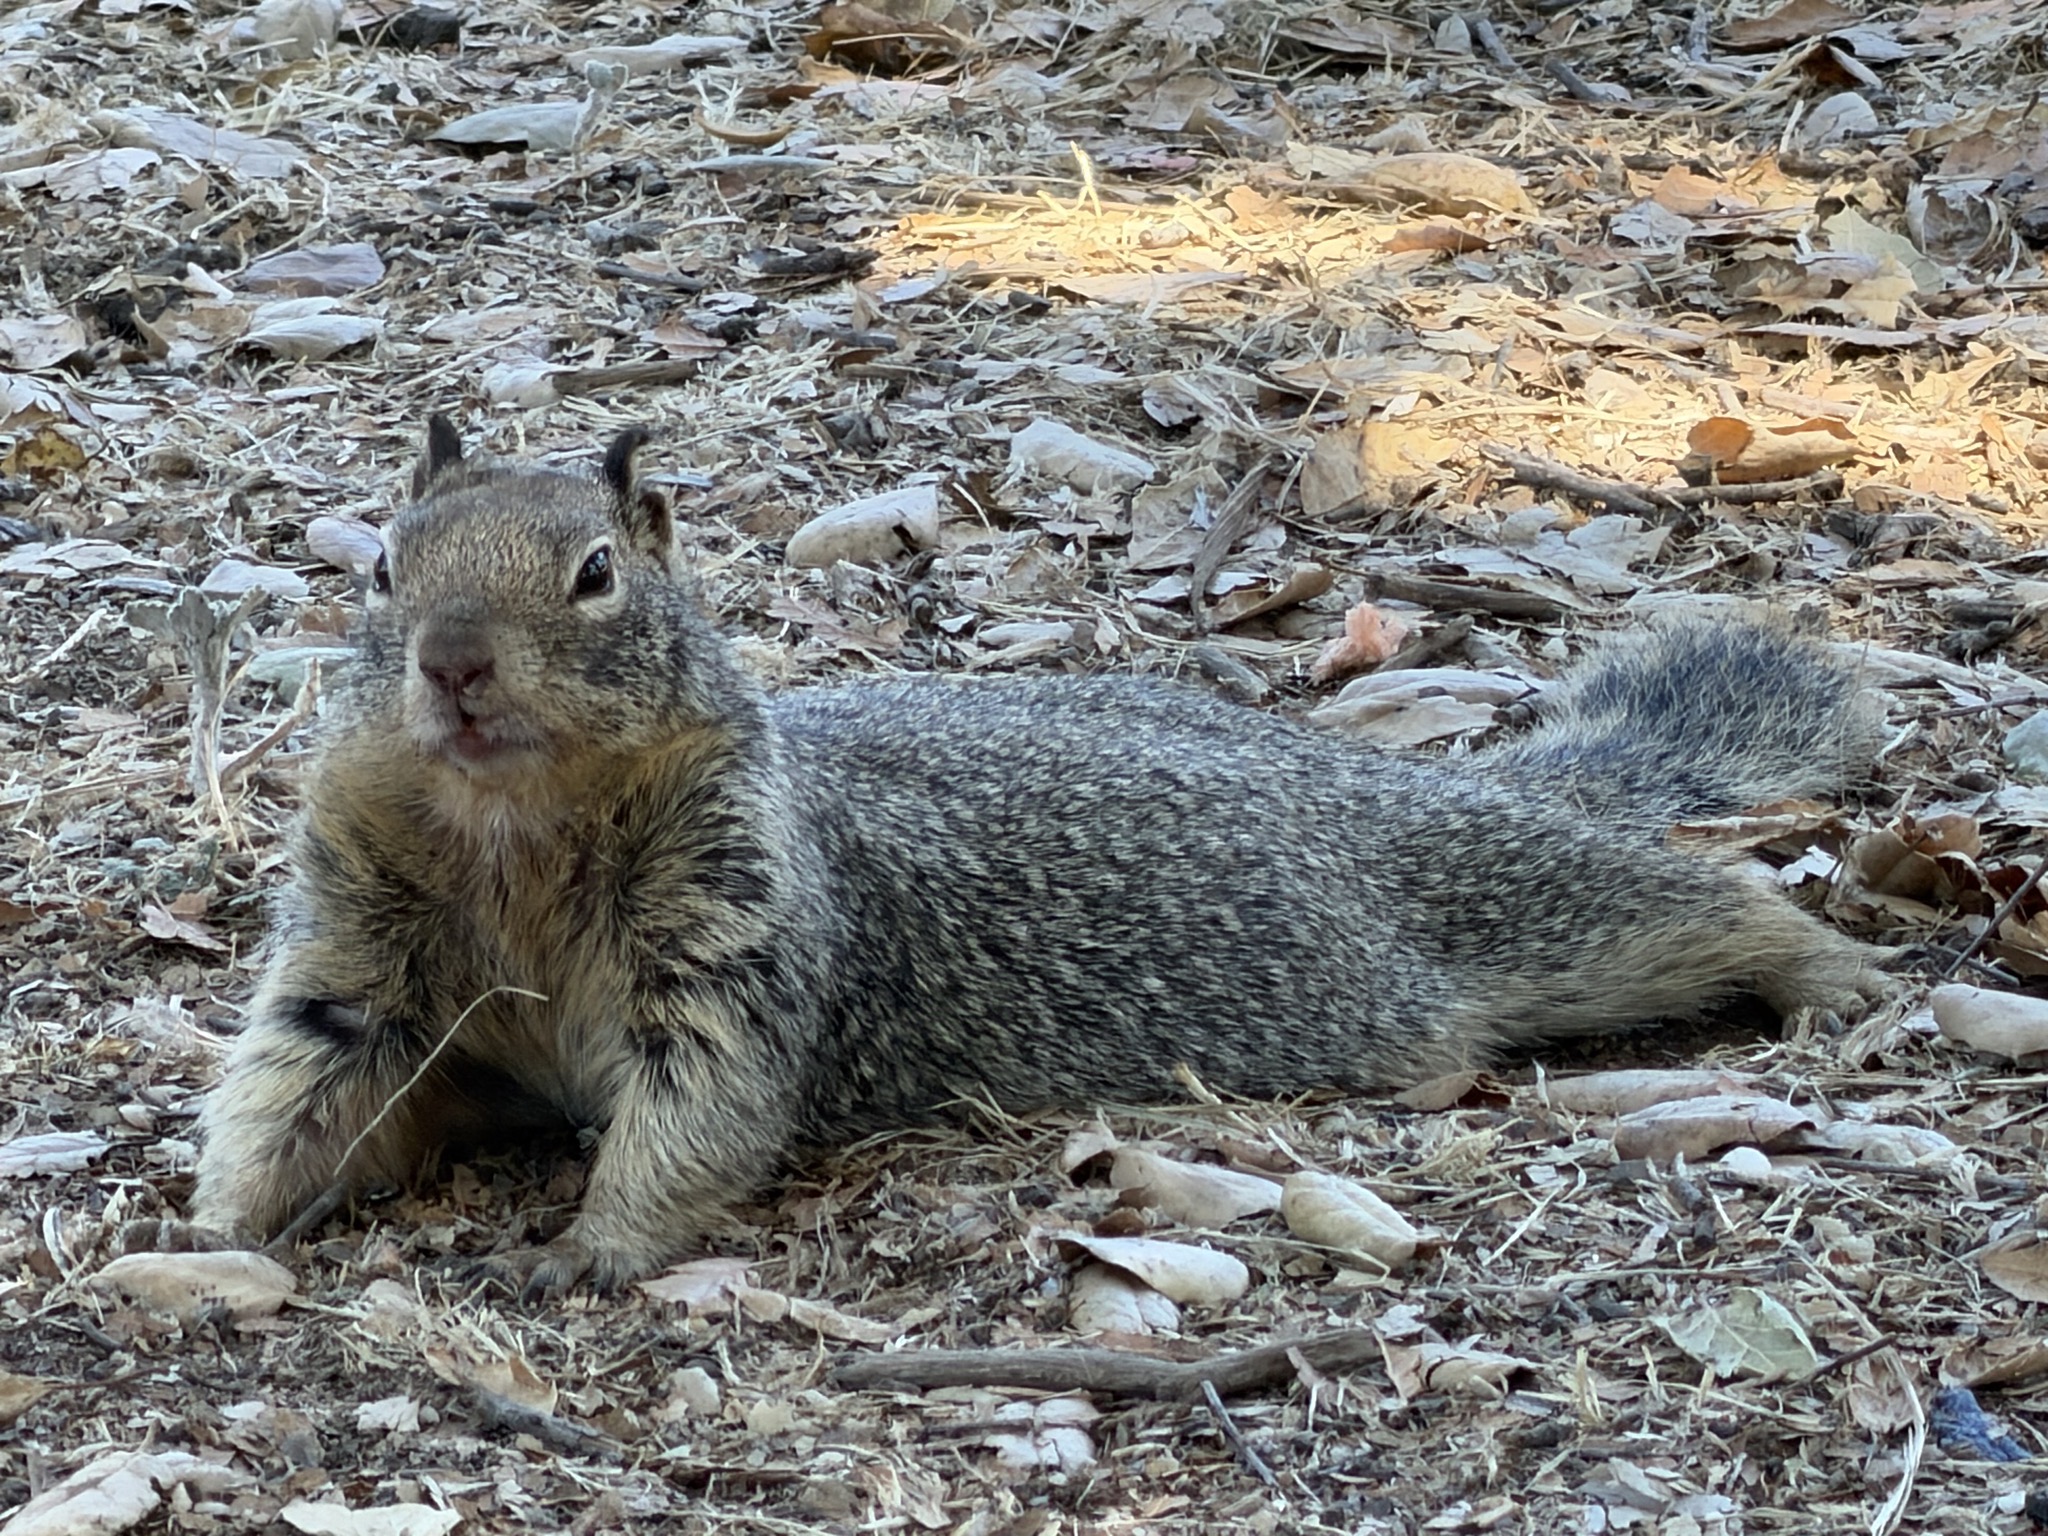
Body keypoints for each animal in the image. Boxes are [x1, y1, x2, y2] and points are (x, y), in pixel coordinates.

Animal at [178, 419, 1887, 1291]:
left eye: (598, 573)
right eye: (383, 566)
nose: (454, 664)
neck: (516, 834)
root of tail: (1354, 773)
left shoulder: (733, 926)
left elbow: (702, 1101)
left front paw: (591, 1250)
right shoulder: (360, 950)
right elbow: (299, 1077)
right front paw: (214, 1227)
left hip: (1516, 900)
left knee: (1696, 896)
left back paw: (1837, 980)